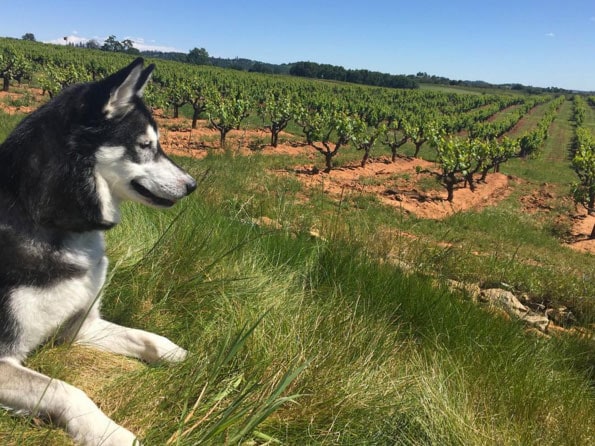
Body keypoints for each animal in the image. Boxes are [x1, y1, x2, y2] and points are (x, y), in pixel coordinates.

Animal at [0, 57, 198, 444]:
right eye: (144, 145)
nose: (192, 186)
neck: (48, 219)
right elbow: (65, 389)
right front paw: (110, 432)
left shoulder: (79, 327)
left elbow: (150, 339)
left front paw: (184, 357)